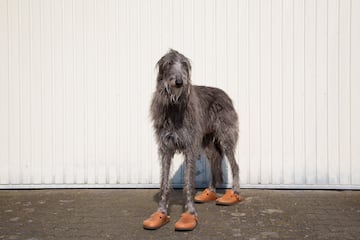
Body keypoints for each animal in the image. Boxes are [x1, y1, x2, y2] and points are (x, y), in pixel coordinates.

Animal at [150, 48, 240, 216]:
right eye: (169, 63)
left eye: (184, 64)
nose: (179, 82)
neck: (175, 106)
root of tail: (224, 93)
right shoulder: (166, 148)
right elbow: (164, 181)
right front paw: (162, 211)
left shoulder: (190, 147)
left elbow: (188, 182)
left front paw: (190, 211)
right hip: (207, 141)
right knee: (214, 161)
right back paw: (210, 192)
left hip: (226, 136)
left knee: (234, 165)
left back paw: (235, 193)